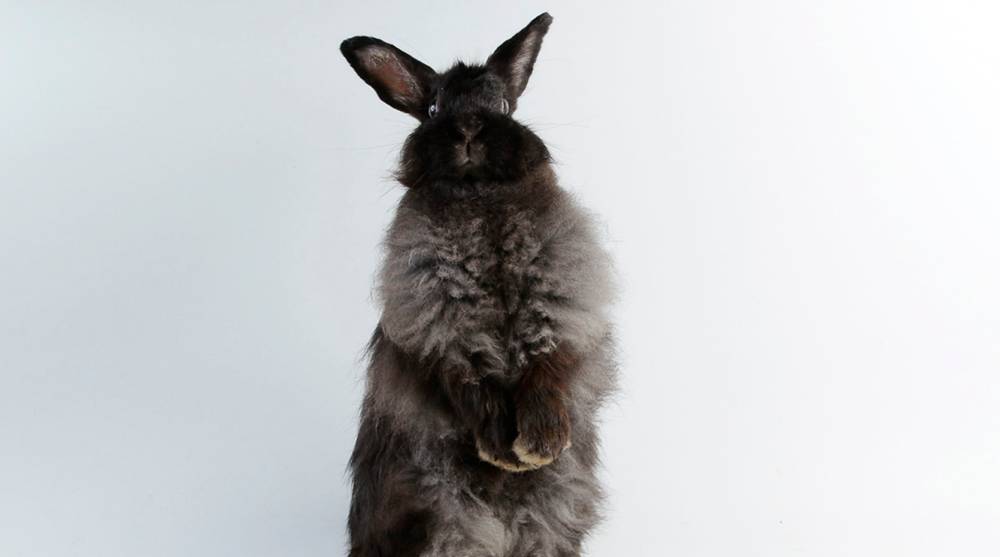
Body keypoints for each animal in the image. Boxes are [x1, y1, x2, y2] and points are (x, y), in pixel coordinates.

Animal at [340, 13, 617, 557]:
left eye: (504, 105)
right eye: (432, 108)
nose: (469, 128)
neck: (479, 196)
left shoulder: (559, 299)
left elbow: (547, 368)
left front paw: (539, 445)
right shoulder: (440, 319)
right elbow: (471, 382)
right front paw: (502, 450)